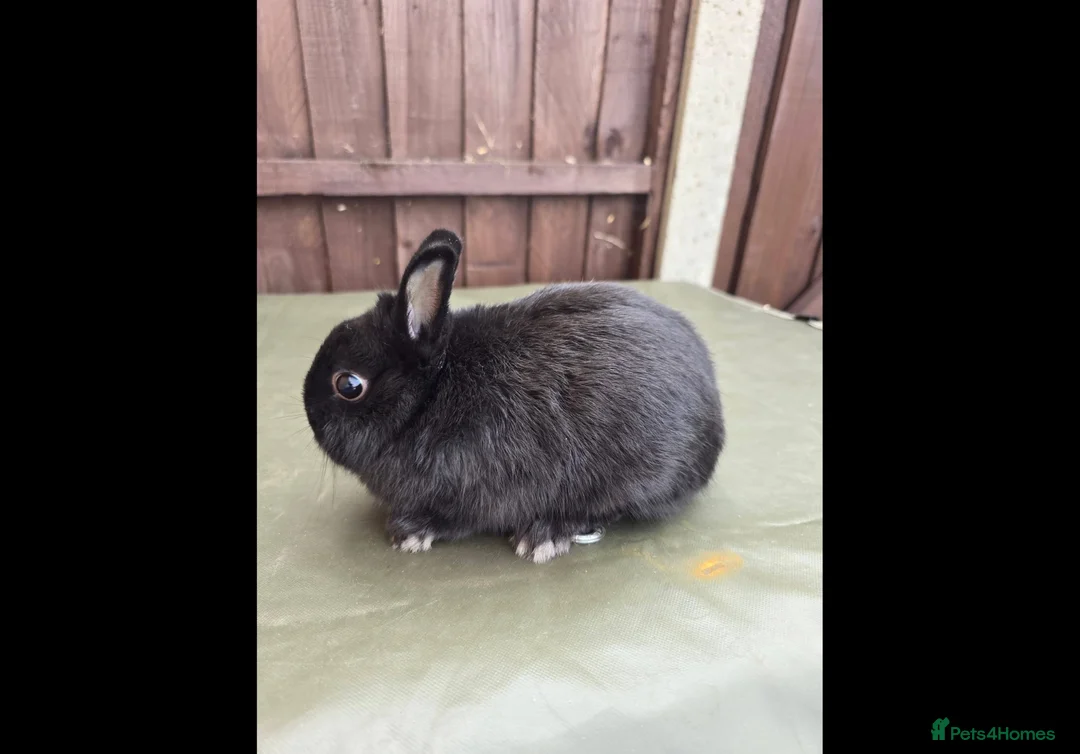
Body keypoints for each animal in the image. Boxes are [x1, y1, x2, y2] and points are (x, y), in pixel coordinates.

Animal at [302, 229, 725, 564]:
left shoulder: (471, 492)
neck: (429, 396)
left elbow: (455, 520)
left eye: (349, 385)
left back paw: (544, 535)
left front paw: (409, 531)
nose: (310, 414)